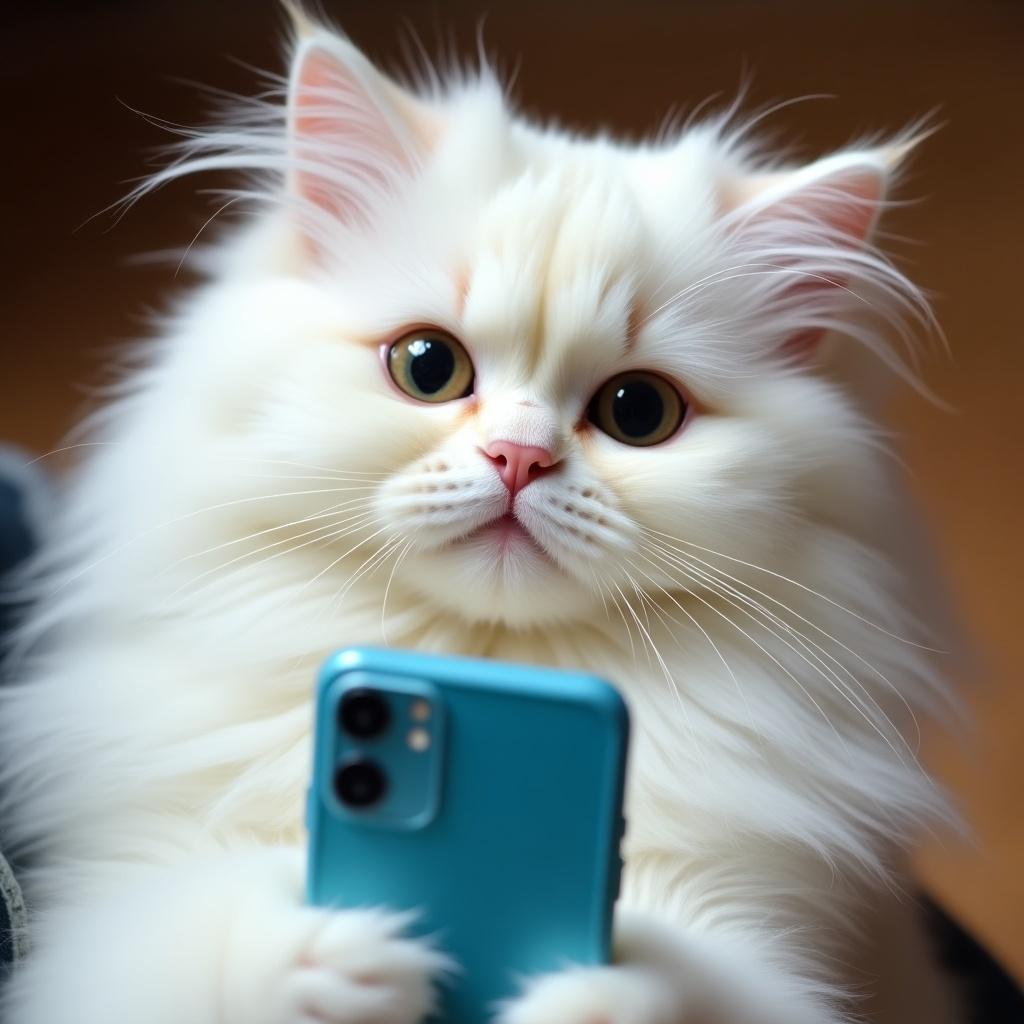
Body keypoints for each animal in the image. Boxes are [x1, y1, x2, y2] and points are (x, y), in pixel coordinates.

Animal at [0, 9, 962, 1024]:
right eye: (428, 366)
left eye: (639, 413)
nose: (520, 457)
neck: (486, 672)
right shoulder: (101, 914)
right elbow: (188, 938)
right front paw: (337, 959)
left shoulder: (778, 937)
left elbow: (693, 984)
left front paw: (582, 995)